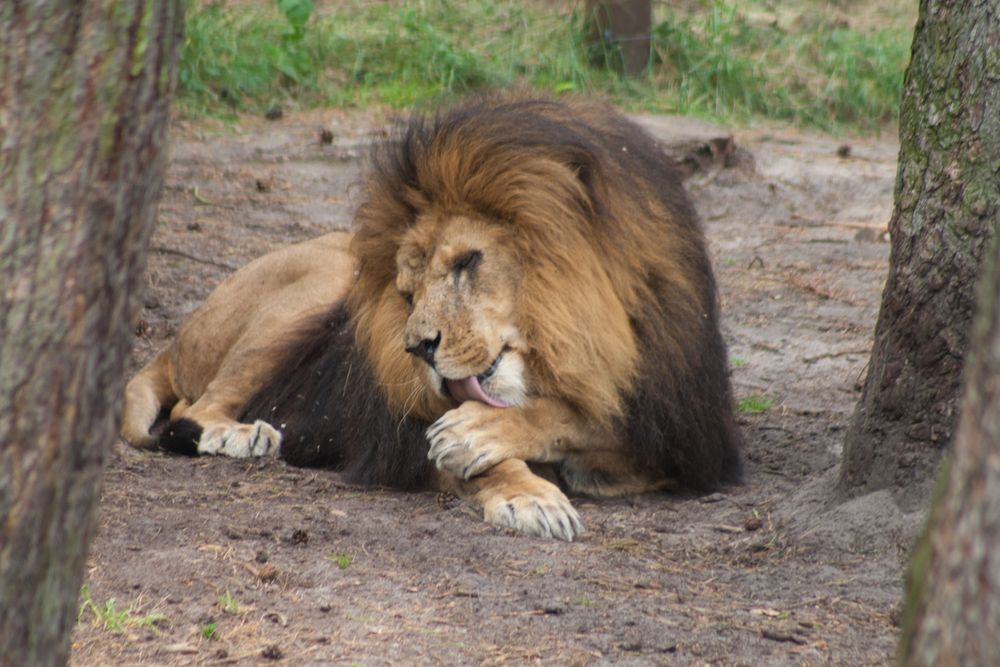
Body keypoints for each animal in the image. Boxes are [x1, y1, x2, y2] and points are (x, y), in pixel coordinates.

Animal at [121, 95, 744, 544]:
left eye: (467, 262)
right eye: (407, 292)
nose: (417, 347)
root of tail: (175, 339)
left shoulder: (676, 436)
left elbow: (588, 417)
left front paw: (482, 432)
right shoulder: (397, 439)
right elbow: (499, 456)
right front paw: (529, 494)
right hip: (319, 285)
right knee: (193, 410)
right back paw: (241, 434)